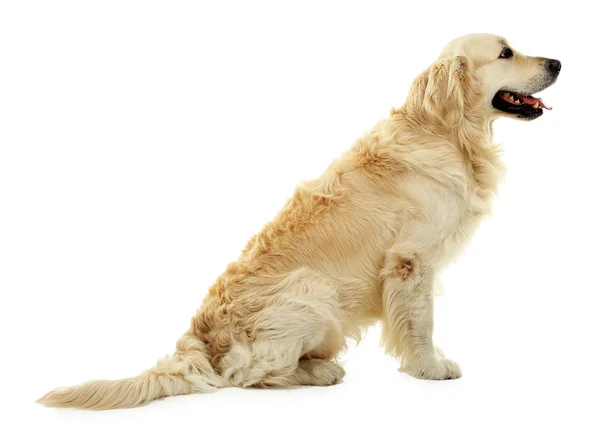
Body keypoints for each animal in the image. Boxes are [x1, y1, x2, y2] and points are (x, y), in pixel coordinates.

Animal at [37, 33, 564, 408]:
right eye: (506, 52)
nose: (558, 63)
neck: (446, 131)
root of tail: (198, 342)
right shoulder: (411, 261)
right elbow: (422, 324)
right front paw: (431, 368)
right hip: (315, 290)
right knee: (247, 375)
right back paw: (320, 372)